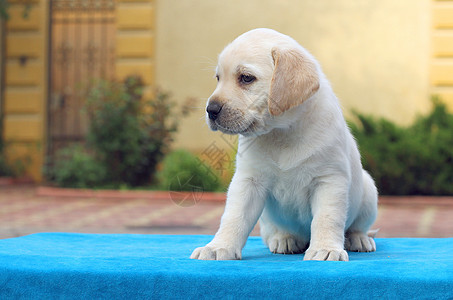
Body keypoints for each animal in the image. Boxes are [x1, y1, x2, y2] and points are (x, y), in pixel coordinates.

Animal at [191, 28, 378, 262]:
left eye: (246, 78)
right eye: (218, 78)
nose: (211, 110)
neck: (281, 133)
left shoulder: (329, 180)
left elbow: (327, 219)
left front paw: (326, 248)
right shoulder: (248, 181)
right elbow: (234, 217)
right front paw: (218, 247)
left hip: (368, 191)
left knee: (356, 227)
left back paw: (358, 239)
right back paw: (284, 239)